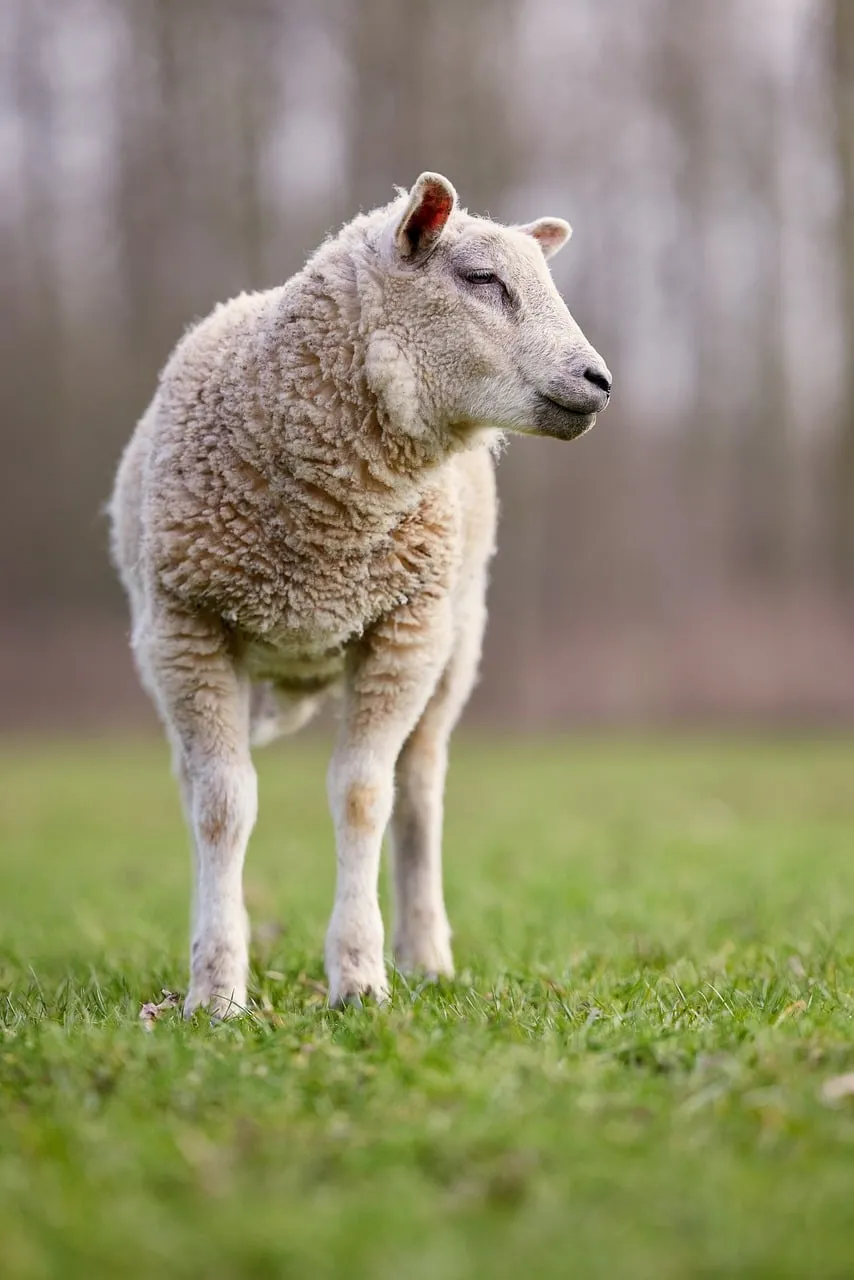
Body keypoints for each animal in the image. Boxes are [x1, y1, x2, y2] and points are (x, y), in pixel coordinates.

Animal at [109, 172, 611, 1017]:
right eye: (482, 279)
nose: (598, 382)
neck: (324, 533)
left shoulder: (405, 628)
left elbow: (363, 796)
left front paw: (360, 976)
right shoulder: (188, 625)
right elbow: (221, 806)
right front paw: (216, 989)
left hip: (456, 641)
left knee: (419, 790)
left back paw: (426, 954)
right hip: (166, 652)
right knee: (196, 784)